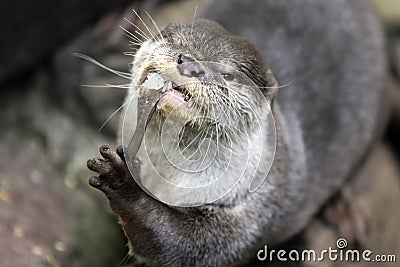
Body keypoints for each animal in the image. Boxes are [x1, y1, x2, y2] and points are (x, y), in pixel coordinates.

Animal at [86, 1, 386, 266]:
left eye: (228, 75)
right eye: (175, 41)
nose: (189, 64)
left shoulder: (258, 209)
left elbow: (186, 247)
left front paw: (123, 182)